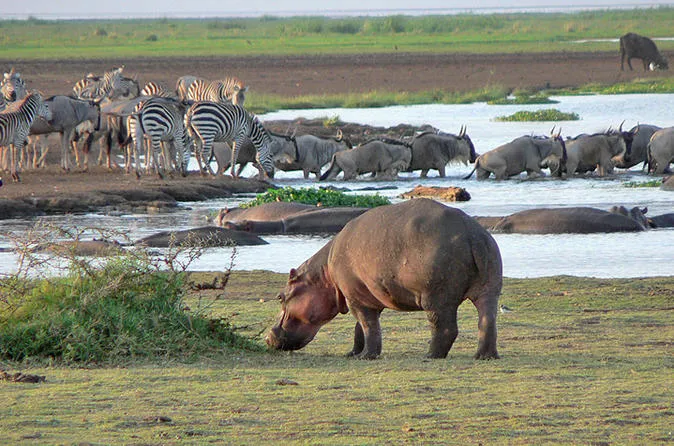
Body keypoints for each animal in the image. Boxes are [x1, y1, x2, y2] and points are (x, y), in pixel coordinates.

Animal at [266, 200, 502, 360]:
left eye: (280, 297)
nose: (268, 338)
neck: (323, 274)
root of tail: (472, 233)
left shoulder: (356, 298)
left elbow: (369, 327)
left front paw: (365, 356)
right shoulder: (361, 296)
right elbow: (360, 328)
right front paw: (353, 353)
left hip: (436, 297)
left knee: (445, 328)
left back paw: (430, 355)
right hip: (489, 288)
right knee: (487, 320)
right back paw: (484, 356)